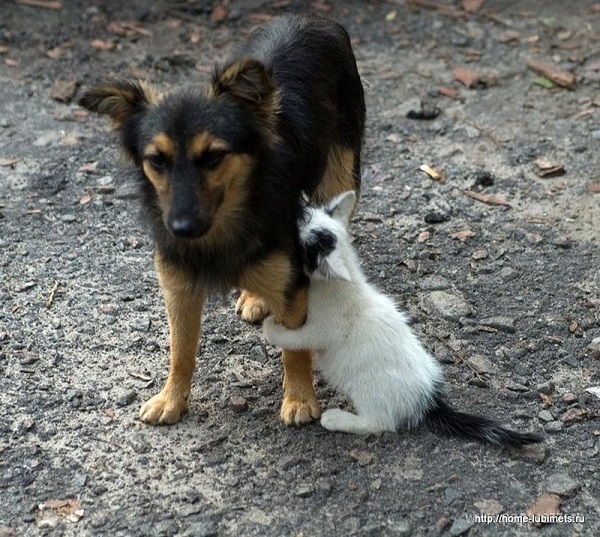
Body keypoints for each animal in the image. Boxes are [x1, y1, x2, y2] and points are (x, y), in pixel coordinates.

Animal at [77, 14, 364, 428]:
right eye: (156, 160)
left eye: (213, 157)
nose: (180, 229)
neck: (221, 228)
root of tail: (310, 17)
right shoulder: (178, 285)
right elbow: (180, 351)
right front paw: (171, 398)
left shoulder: (292, 282)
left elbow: (294, 349)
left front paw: (298, 398)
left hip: (341, 172)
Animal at [262, 191, 540, 446]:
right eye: (302, 215)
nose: (286, 214)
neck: (340, 285)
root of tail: (426, 400)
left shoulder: (323, 329)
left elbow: (298, 338)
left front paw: (270, 328)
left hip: (367, 387)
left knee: (379, 423)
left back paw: (337, 418)